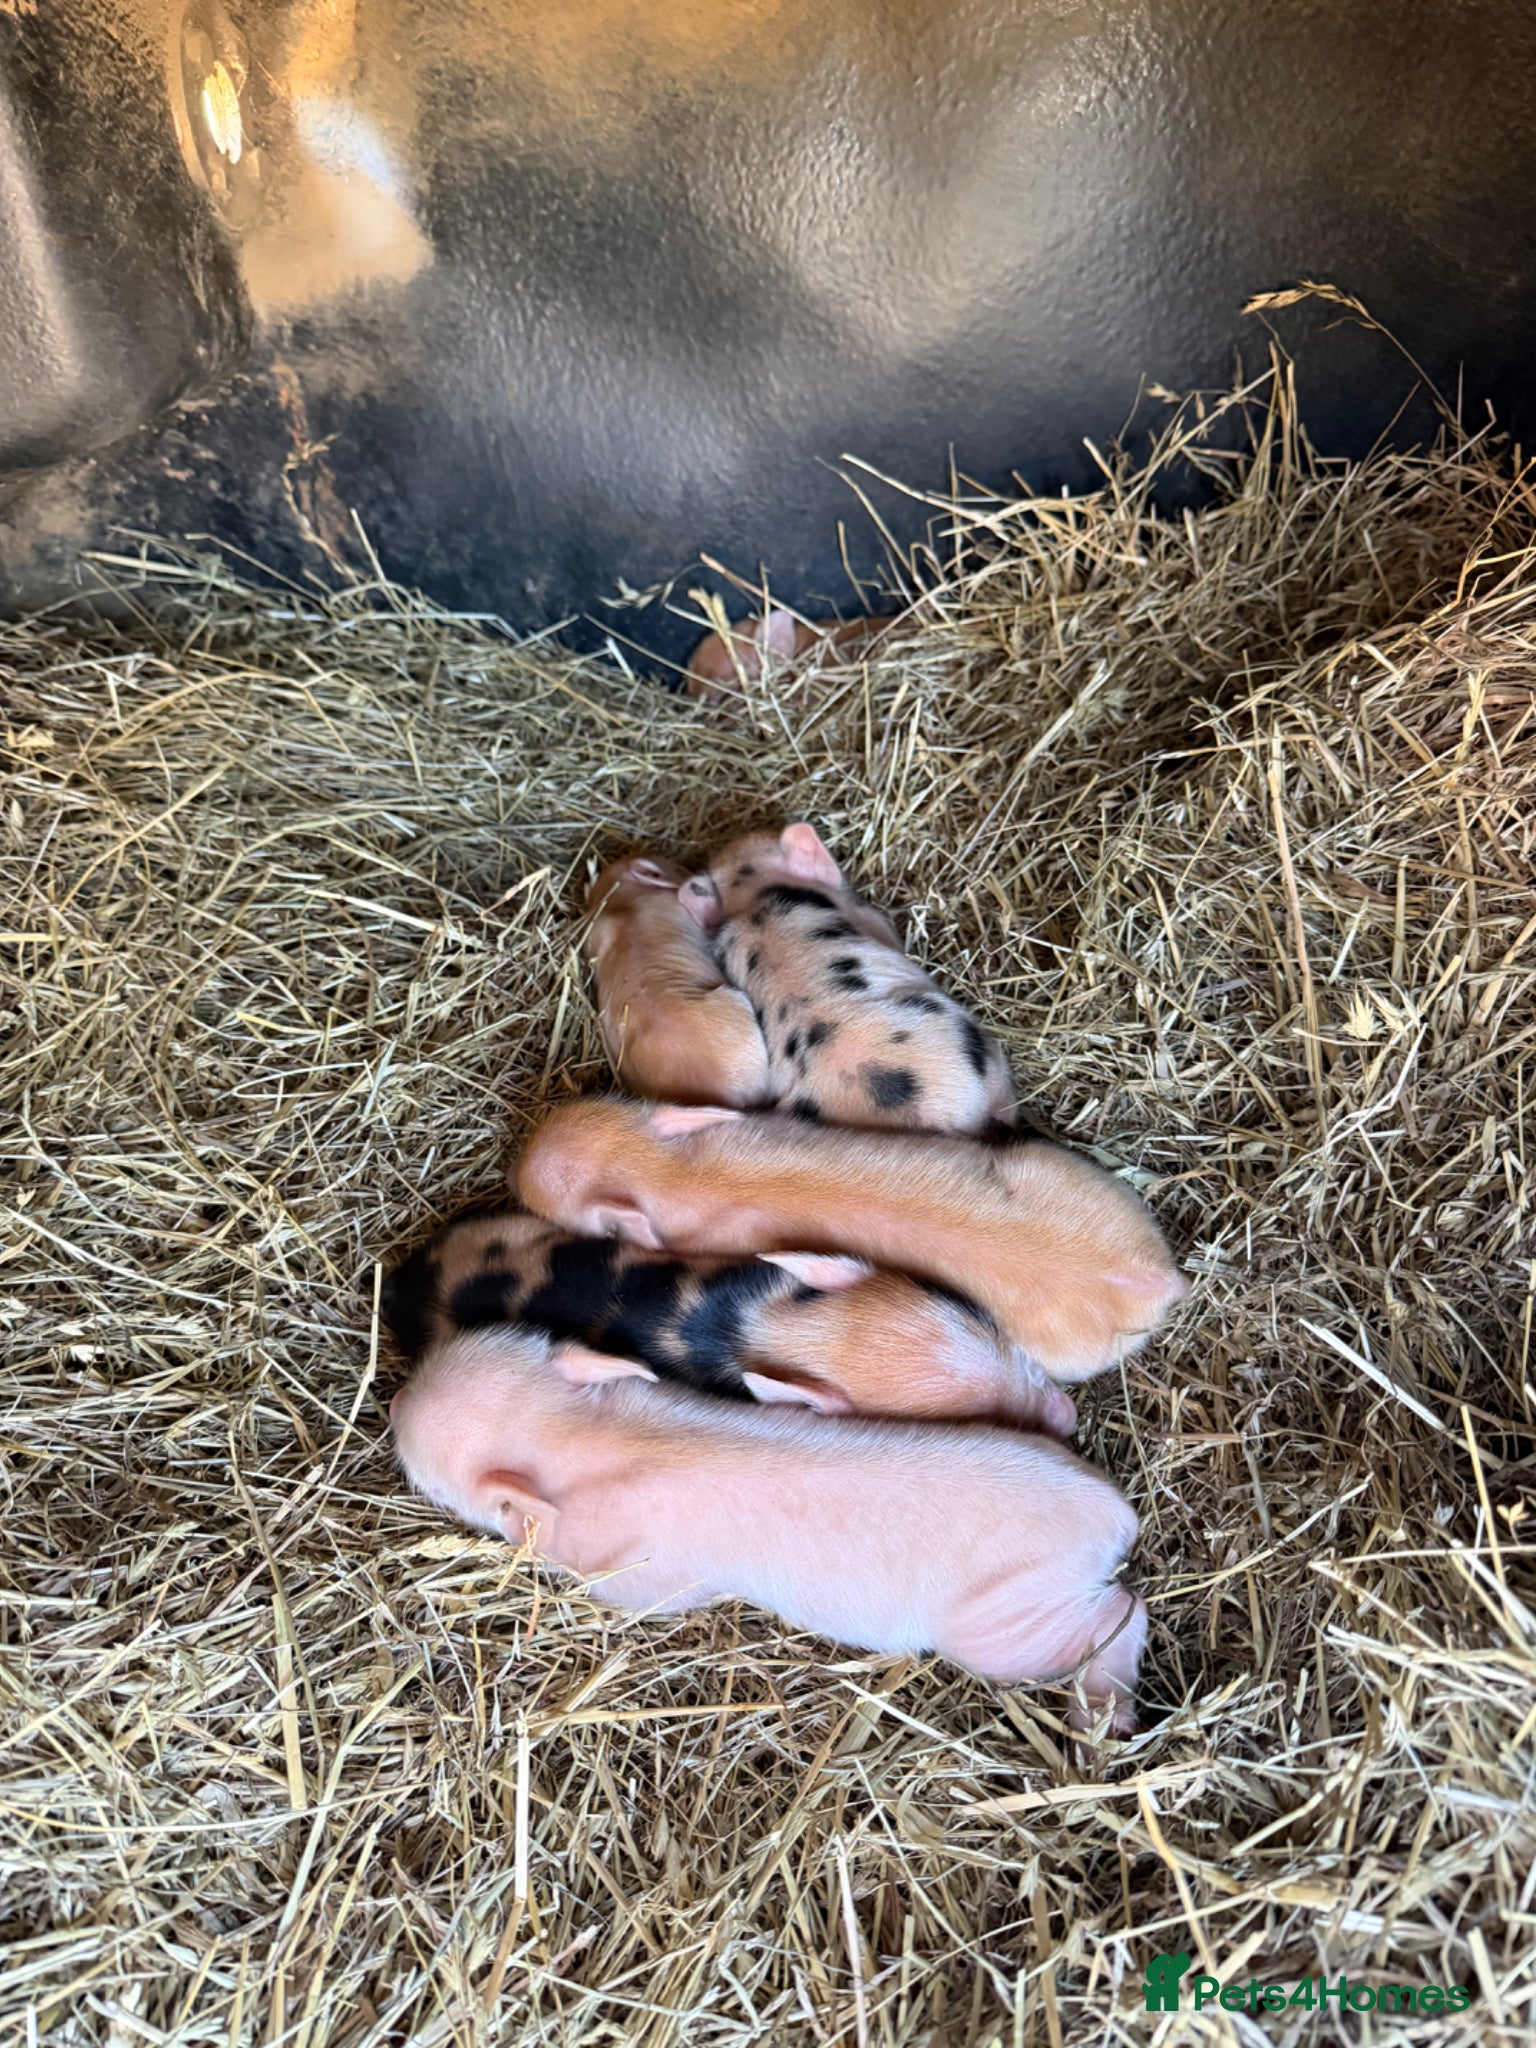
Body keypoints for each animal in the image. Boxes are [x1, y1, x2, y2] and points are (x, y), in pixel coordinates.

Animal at [391, 1326, 1147, 1731]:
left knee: (1122, 1612)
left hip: (1006, 1622)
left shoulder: (646, 1576)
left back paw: (1102, 1720)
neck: (571, 1435)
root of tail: (1112, 1511)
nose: (394, 1400)